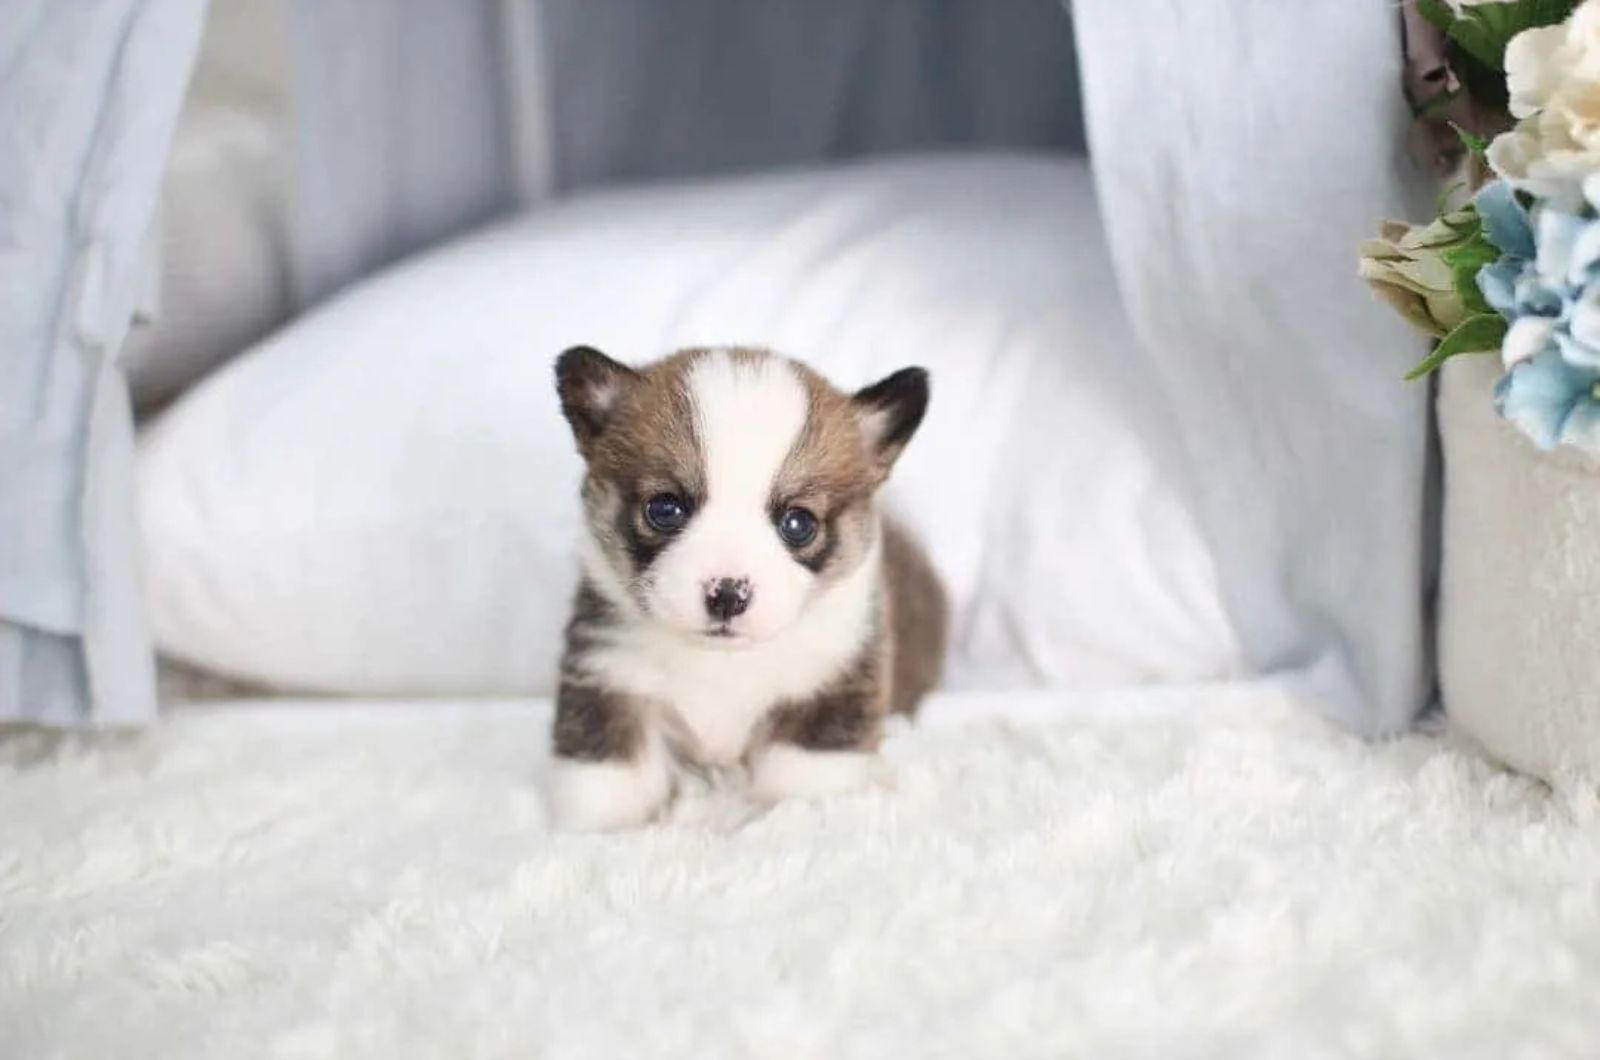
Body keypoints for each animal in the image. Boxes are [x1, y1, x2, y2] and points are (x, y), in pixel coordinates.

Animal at [550, 347, 947, 832]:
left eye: (798, 523)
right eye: (664, 508)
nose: (727, 595)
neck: (723, 662)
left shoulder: (829, 688)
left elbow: (800, 784)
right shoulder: (610, 675)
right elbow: (608, 776)